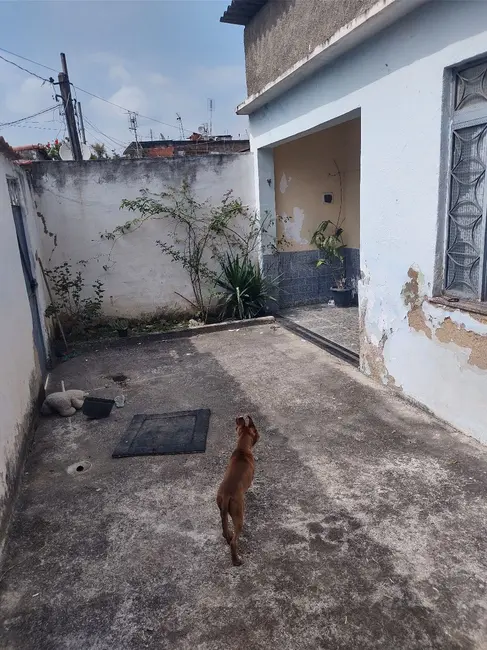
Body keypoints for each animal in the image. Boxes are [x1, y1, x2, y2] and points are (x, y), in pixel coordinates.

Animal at [217, 416, 260, 560]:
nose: (259, 435)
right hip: (239, 515)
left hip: (222, 510)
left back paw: (228, 535)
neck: (242, 449)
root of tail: (226, 495)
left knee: (225, 530)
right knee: (234, 542)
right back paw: (237, 560)